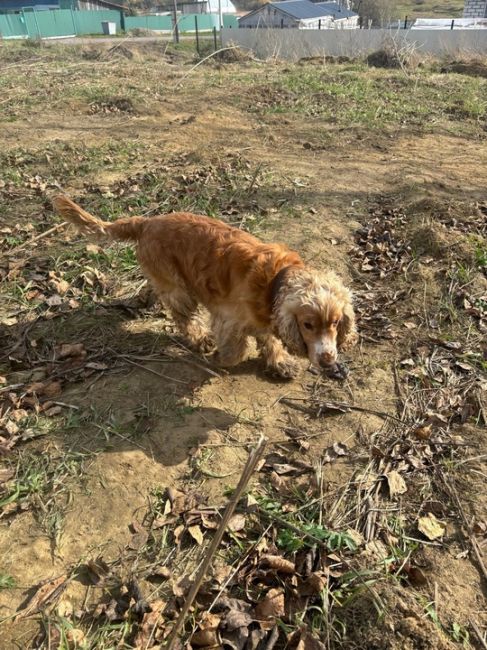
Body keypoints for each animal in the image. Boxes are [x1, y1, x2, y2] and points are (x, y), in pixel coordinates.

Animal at [52, 197, 358, 380]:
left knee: (154, 289)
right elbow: (238, 350)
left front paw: (281, 363)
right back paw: (201, 340)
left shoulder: (263, 317)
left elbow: (269, 339)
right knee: (183, 317)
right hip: (180, 290)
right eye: (307, 325)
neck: (275, 280)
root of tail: (147, 221)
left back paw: (142, 300)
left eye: (335, 323)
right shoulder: (229, 319)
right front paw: (220, 357)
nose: (328, 360)